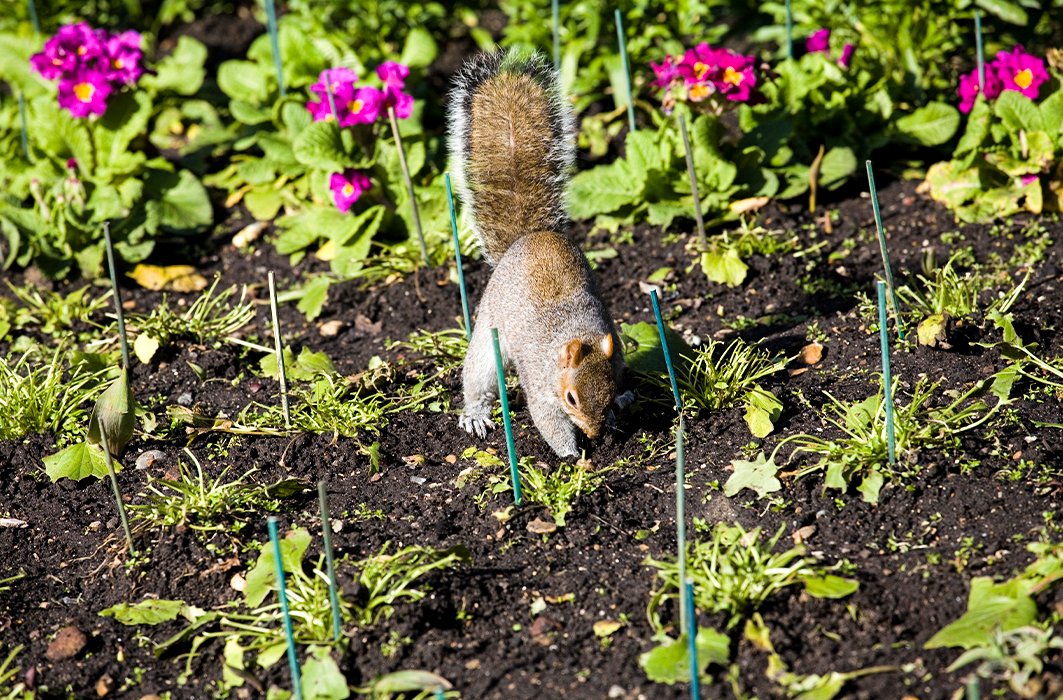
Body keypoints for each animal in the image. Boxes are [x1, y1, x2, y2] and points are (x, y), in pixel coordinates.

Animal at [448, 50, 628, 459]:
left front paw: (615, 414)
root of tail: (529, 237)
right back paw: (475, 414)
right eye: (571, 398)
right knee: (478, 376)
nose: (594, 434)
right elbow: (548, 421)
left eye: (609, 389)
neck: (576, 332)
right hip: (488, 336)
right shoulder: (539, 381)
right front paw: (571, 455)